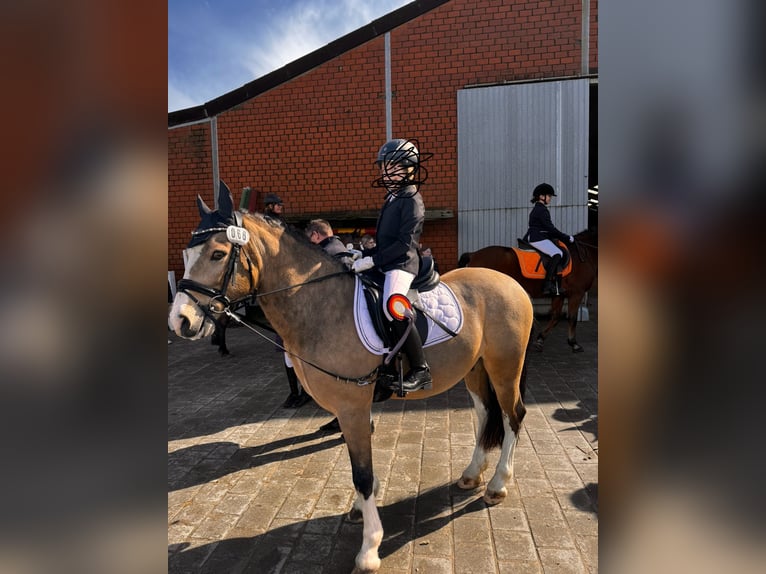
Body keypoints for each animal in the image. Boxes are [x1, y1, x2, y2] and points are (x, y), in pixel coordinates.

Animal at [168, 186, 536, 574]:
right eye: (187, 254)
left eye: (218, 253)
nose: (180, 321)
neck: (321, 306)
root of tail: (509, 281)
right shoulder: (349, 411)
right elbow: (360, 470)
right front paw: (361, 510)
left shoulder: (352, 407)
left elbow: (362, 473)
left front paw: (369, 549)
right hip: (476, 369)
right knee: (484, 415)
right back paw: (472, 474)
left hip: (504, 367)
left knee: (512, 416)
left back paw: (497, 484)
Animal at [460, 227, 596, 354]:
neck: (582, 255)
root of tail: (473, 254)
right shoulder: (577, 293)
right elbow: (572, 318)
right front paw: (574, 343)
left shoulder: (560, 295)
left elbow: (555, 317)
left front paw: (540, 340)